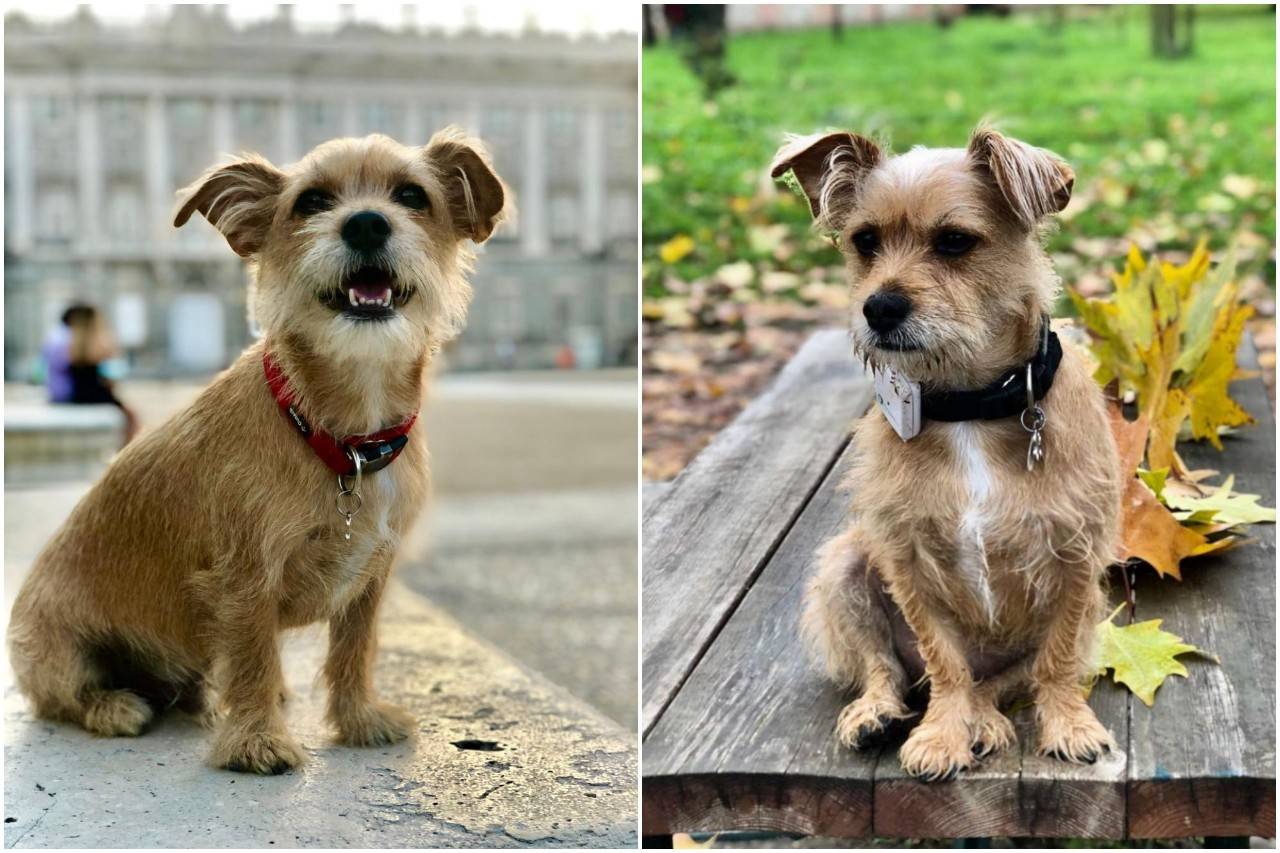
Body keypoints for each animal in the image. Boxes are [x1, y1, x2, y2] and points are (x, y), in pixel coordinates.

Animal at [12, 129, 509, 773]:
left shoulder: (372, 575)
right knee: (64, 696)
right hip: (52, 650)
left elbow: (355, 648)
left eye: (411, 195)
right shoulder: (244, 577)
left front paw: (359, 719)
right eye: (311, 202)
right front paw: (256, 741)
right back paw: (114, 705)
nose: (366, 224)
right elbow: (250, 653)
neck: (340, 436)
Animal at [768, 124, 1121, 778]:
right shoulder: (906, 561)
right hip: (844, 566)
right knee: (887, 668)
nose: (878, 307)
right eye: (865, 241)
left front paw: (1069, 724)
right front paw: (940, 734)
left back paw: (986, 718)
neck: (970, 406)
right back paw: (880, 713)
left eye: (955, 241)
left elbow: (1056, 661)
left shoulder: (1077, 562)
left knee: (1004, 681)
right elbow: (944, 662)